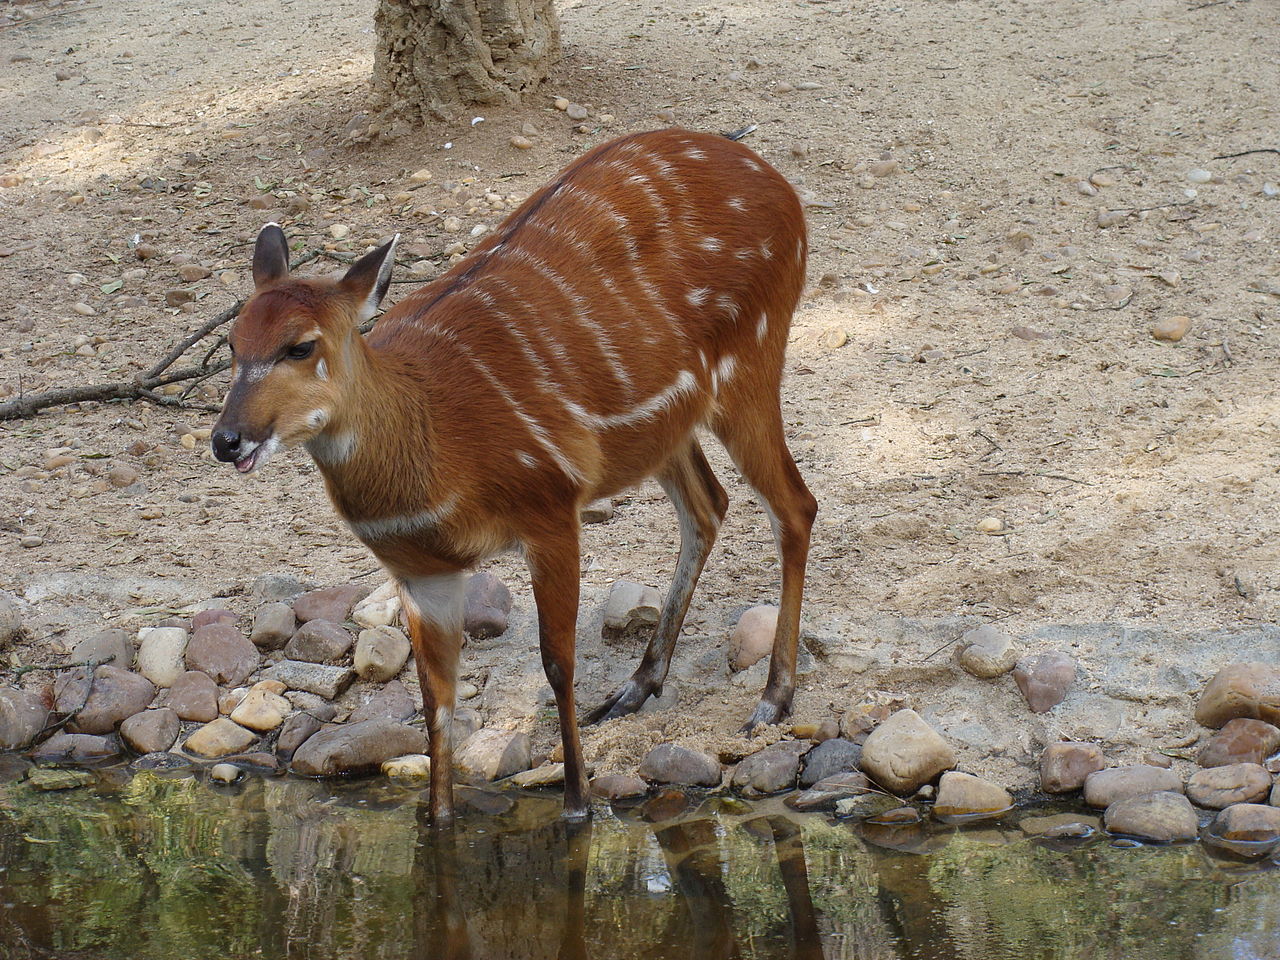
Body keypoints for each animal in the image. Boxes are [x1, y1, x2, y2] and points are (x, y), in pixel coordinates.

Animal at [208, 126, 808, 819]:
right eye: (232, 344)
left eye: (300, 345)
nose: (227, 439)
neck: (436, 449)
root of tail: (780, 186)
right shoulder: (423, 572)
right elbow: (437, 699)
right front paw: (439, 817)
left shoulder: (551, 508)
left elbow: (558, 663)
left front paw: (577, 807)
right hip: (668, 428)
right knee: (709, 506)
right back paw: (636, 687)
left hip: (751, 365)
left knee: (795, 506)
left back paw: (771, 700)